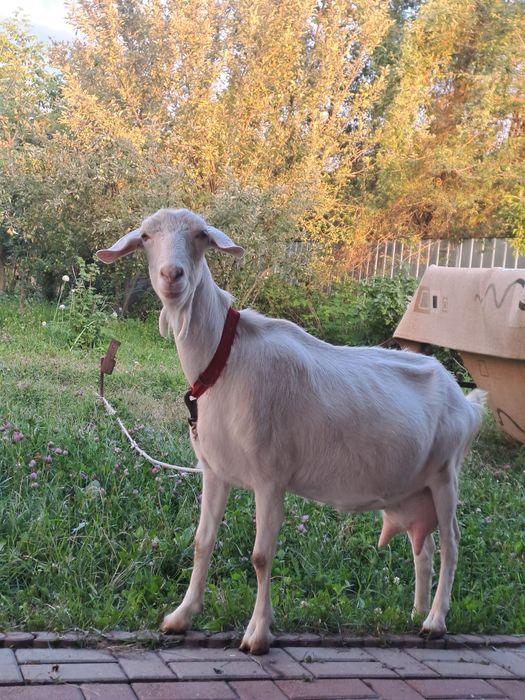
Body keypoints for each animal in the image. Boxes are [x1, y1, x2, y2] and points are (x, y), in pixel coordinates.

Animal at [97, 208, 486, 655]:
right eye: (145, 237)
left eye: (200, 236)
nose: (171, 275)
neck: (225, 359)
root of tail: (467, 402)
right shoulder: (215, 470)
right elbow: (202, 541)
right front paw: (180, 617)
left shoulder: (271, 475)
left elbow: (261, 556)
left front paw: (257, 635)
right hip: (412, 490)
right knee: (424, 545)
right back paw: (416, 613)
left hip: (445, 474)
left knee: (452, 543)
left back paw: (436, 622)